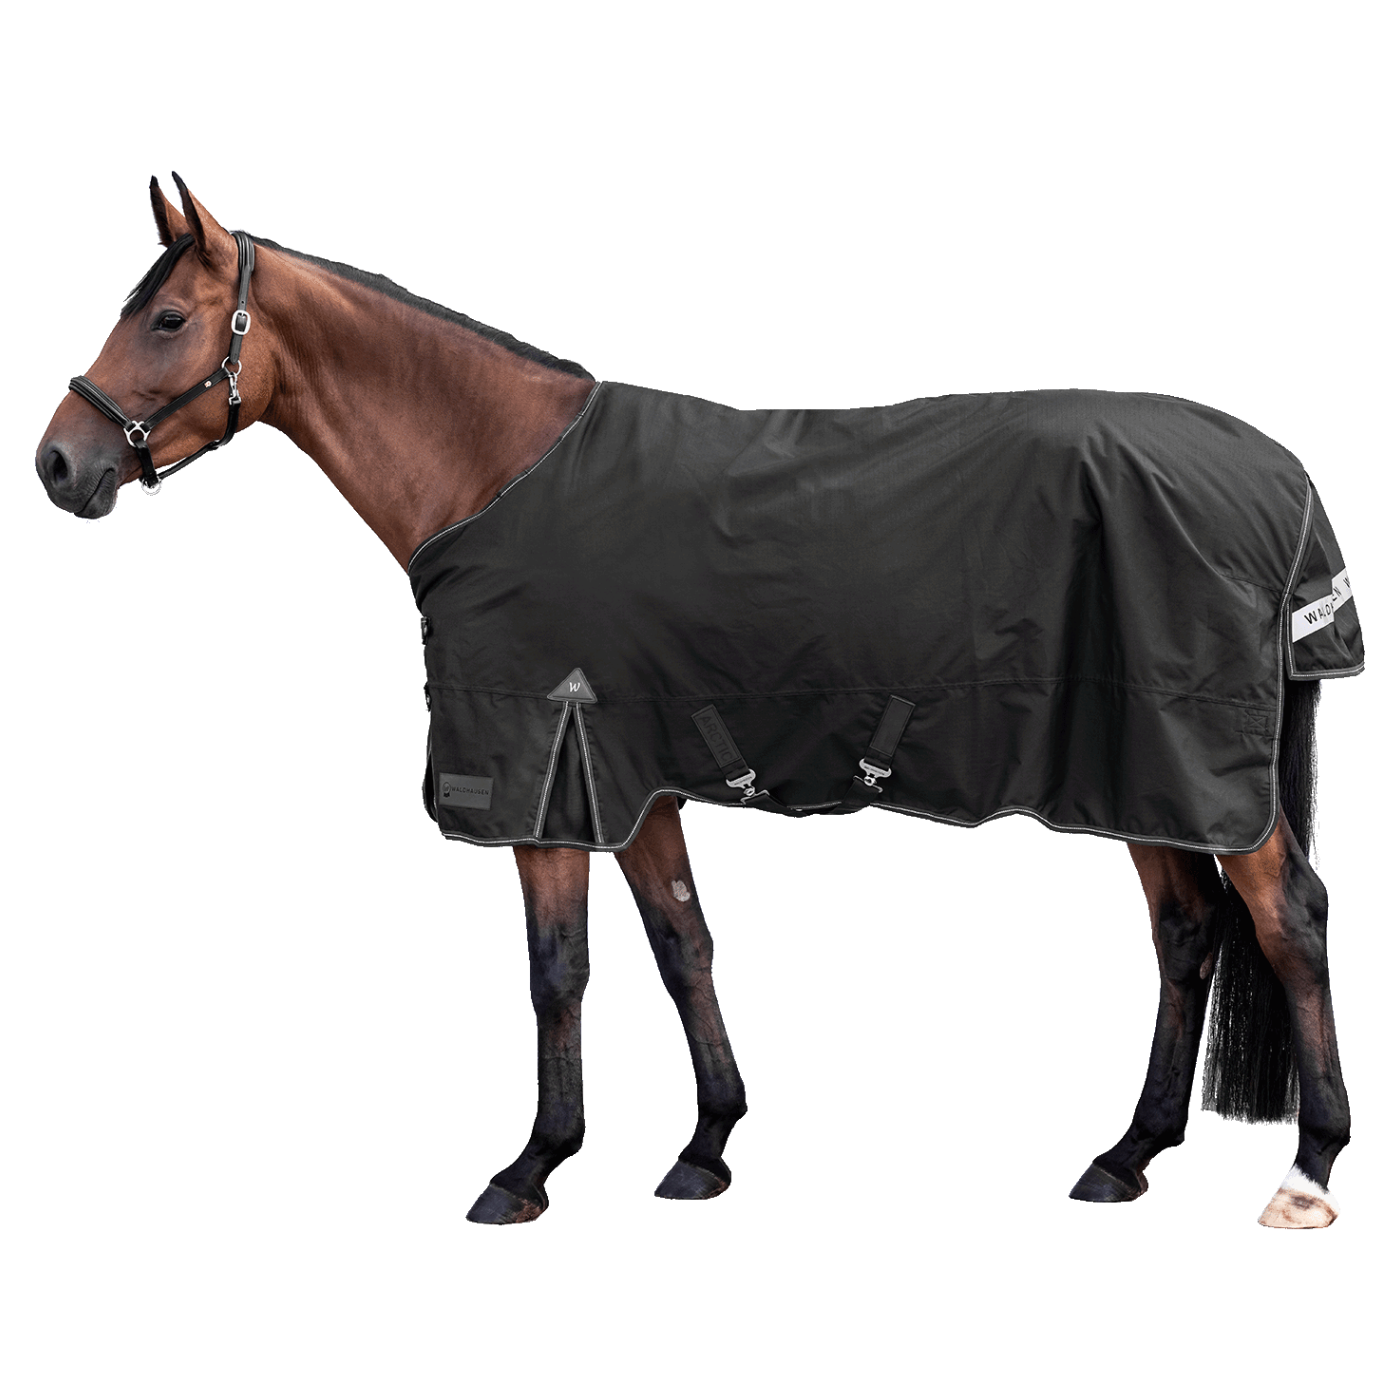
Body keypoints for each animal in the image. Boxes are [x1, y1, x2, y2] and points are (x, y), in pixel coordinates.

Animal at [35, 173, 1359, 1229]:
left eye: (166, 316)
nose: (57, 463)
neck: (492, 470)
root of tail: (1278, 478)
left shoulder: (545, 775)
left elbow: (557, 969)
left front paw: (528, 1168)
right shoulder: (630, 772)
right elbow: (681, 943)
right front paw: (706, 1145)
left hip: (1197, 770)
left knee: (1286, 924)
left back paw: (1305, 1173)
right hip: (1144, 770)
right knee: (1183, 935)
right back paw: (1125, 1154)